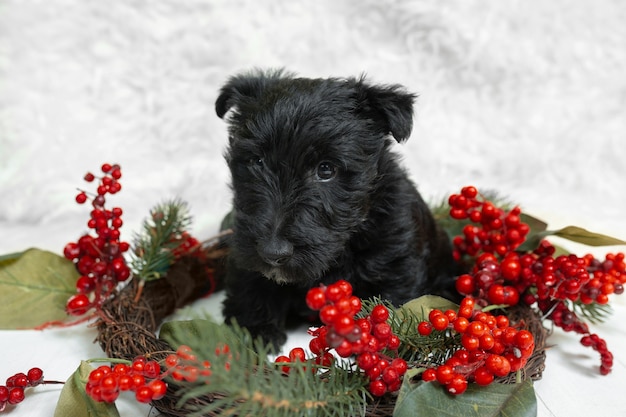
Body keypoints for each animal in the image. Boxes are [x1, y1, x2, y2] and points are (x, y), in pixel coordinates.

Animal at [216, 69, 458, 348]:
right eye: (257, 162)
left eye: (326, 169)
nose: (272, 252)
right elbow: (250, 284)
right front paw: (252, 330)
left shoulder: (396, 262)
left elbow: (388, 302)